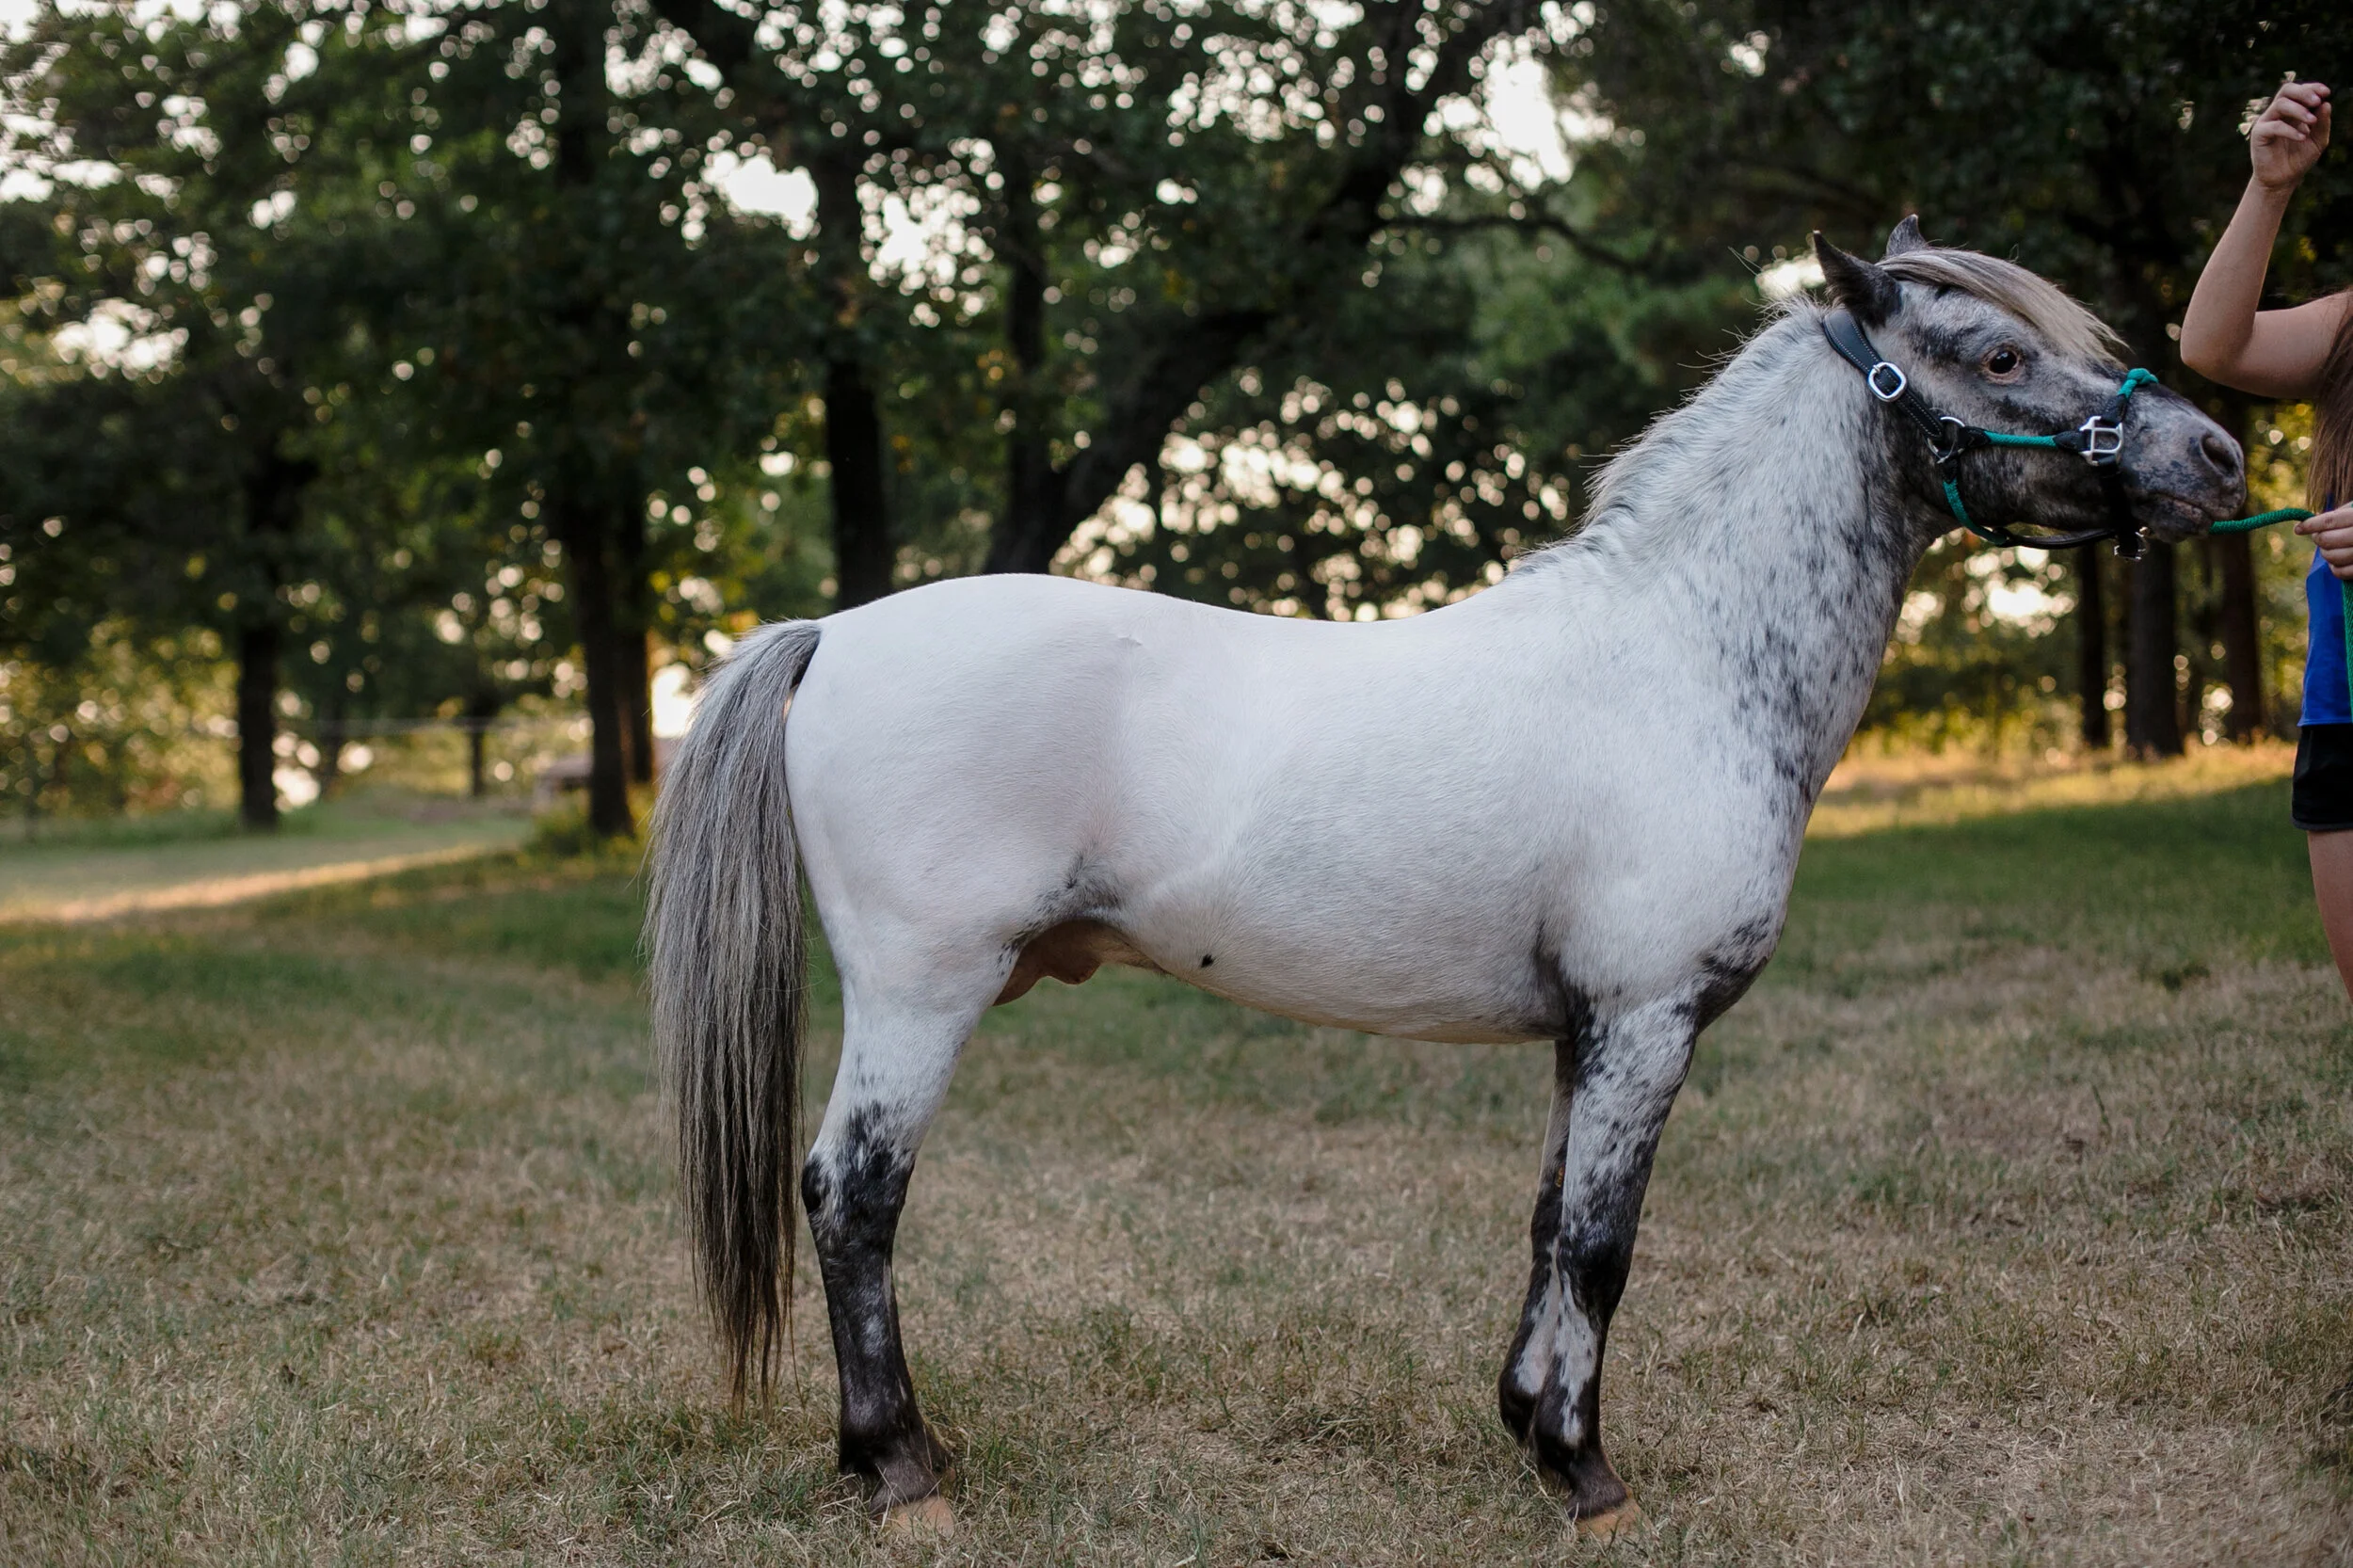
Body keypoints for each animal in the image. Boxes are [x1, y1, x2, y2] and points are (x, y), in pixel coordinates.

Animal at [645, 219, 2244, 1537]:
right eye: (1997, 351)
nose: (2220, 456)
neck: (1686, 660)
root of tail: (834, 633)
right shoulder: (1648, 1020)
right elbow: (1601, 1245)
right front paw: (1587, 1475)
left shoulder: (1588, 1032)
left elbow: (1548, 1226)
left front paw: (1527, 1425)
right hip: (921, 993)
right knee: (853, 1194)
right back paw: (901, 1465)